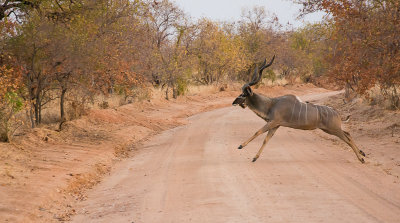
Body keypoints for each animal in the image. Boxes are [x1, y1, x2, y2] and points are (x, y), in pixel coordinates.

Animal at [233, 55, 368, 164]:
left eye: (243, 94)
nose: (233, 102)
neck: (272, 104)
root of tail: (337, 113)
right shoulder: (276, 125)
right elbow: (266, 140)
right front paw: (255, 157)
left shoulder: (273, 122)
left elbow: (258, 132)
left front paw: (241, 146)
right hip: (329, 129)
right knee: (348, 134)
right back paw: (362, 153)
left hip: (333, 129)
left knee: (347, 138)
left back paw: (361, 158)